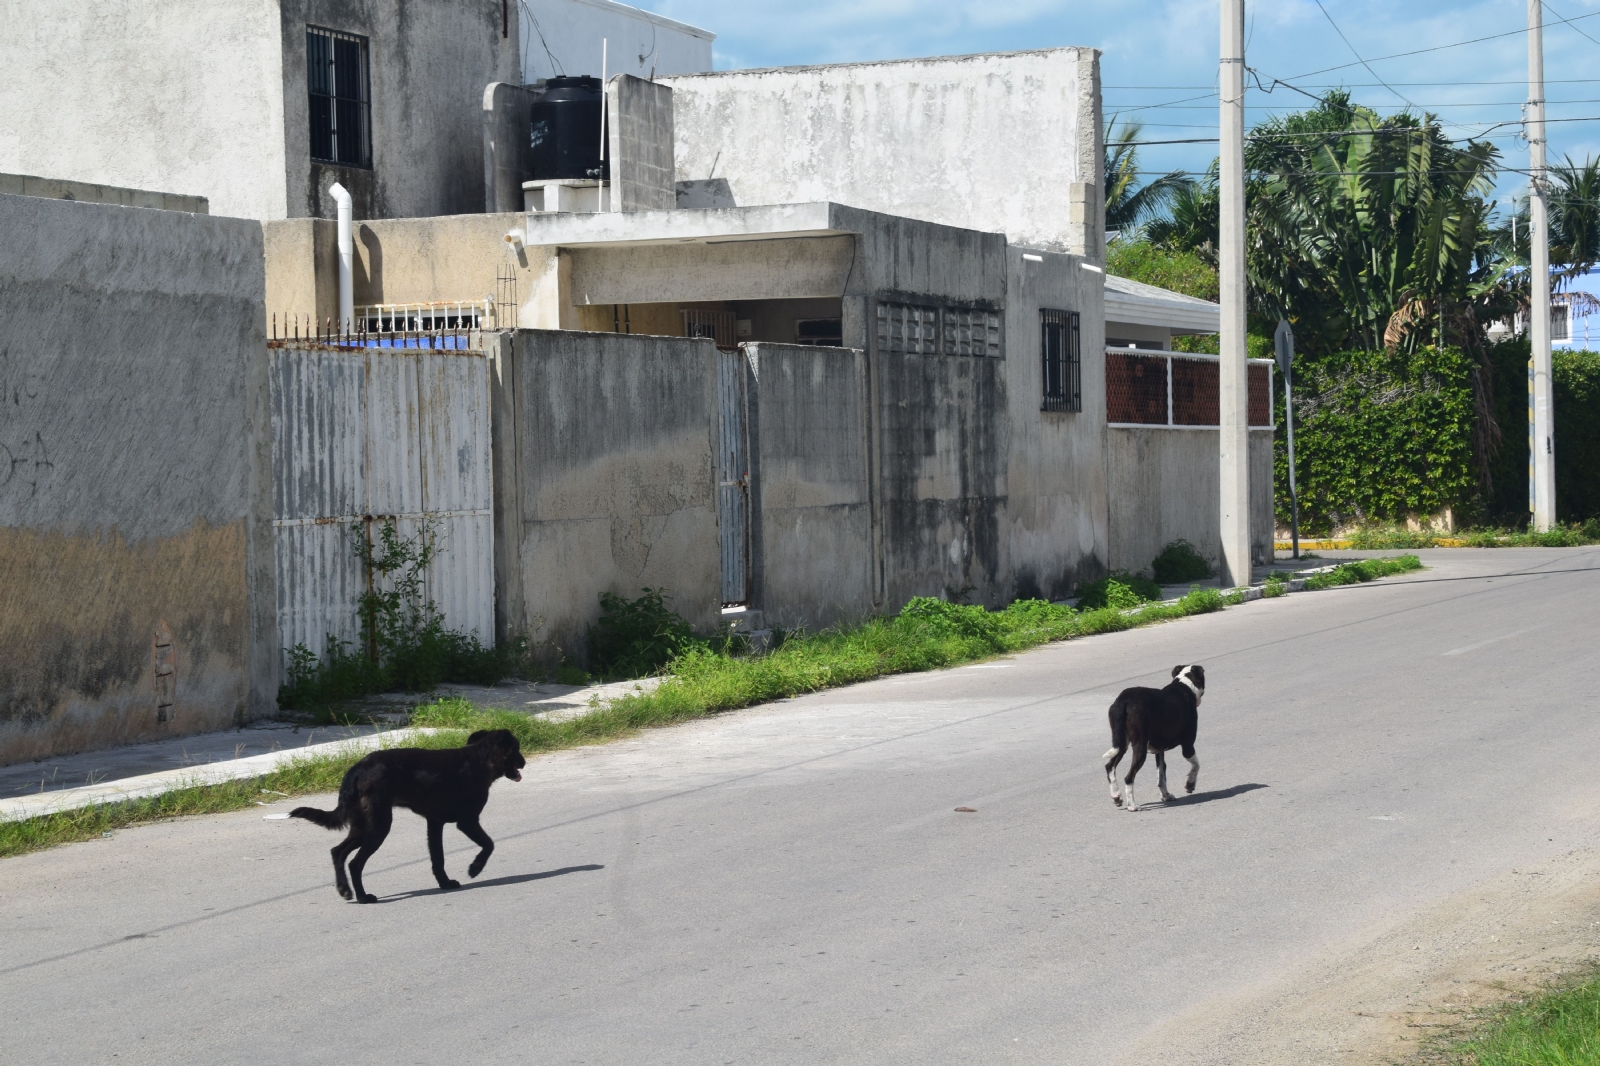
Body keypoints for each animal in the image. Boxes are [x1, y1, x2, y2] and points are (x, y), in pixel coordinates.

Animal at [291, 726, 528, 902]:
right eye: (516, 749)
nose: (524, 762)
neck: (481, 758)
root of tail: (357, 769)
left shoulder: (435, 823)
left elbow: (438, 858)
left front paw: (445, 883)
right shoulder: (467, 821)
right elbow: (489, 844)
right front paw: (475, 868)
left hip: (363, 826)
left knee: (338, 852)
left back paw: (345, 889)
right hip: (379, 826)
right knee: (355, 863)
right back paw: (363, 897)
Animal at [1107, 659, 1203, 809]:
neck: (1184, 685)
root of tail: (1124, 700)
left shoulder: (1159, 751)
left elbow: (1161, 777)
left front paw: (1166, 795)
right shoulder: (1188, 746)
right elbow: (1196, 765)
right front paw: (1190, 784)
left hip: (1121, 744)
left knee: (1110, 767)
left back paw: (1116, 796)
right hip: (1139, 748)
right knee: (1129, 777)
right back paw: (1132, 805)